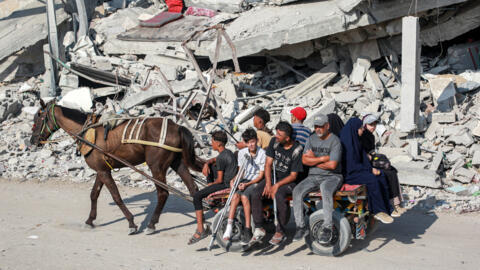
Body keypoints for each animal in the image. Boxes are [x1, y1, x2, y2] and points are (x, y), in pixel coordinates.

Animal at [30, 99, 202, 234]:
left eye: (38, 118)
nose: (32, 141)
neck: (87, 130)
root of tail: (177, 126)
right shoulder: (102, 170)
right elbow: (94, 194)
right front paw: (90, 220)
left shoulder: (104, 172)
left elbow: (116, 196)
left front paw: (131, 223)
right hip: (177, 163)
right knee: (193, 189)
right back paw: (201, 222)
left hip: (156, 167)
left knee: (163, 193)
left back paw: (152, 224)